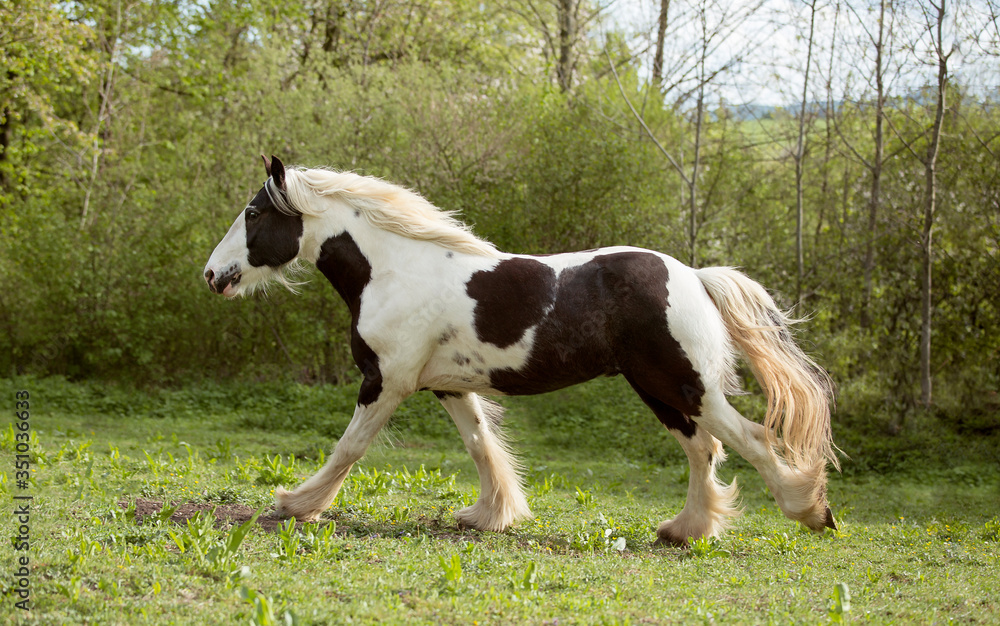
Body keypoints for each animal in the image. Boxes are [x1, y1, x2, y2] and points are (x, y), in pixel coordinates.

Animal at [205, 155, 836, 540]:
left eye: (254, 213)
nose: (213, 275)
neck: (393, 270)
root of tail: (695, 277)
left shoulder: (386, 382)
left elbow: (349, 449)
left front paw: (295, 504)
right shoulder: (445, 386)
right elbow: (483, 446)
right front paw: (490, 515)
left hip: (681, 383)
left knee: (750, 439)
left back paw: (811, 511)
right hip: (662, 390)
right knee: (704, 449)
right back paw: (685, 530)